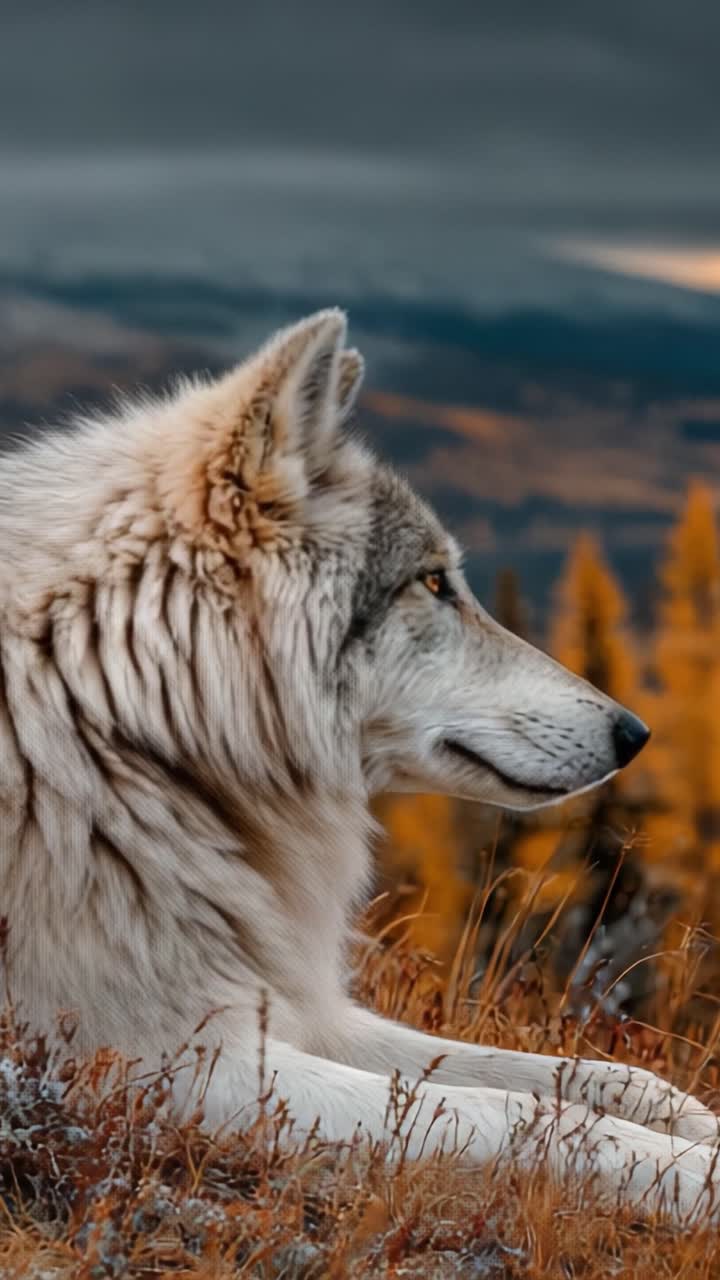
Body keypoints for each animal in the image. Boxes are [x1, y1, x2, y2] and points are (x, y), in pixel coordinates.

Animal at [0, 309, 718, 1221]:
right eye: (435, 582)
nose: (636, 733)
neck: (112, 720)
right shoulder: (168, 1065)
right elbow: (522, 1111)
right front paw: (694, 1175)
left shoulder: (293, 1007)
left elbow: (573, 1073)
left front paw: (692, 1119)